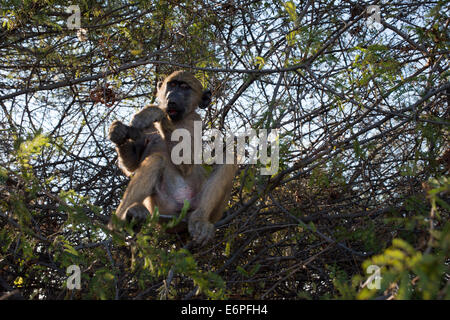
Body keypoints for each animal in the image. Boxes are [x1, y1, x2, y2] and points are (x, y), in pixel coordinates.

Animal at [108, 70, 237, 245]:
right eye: (173, 85)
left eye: (184, 87)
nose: (172, 98)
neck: (175, 120)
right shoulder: (145, 130)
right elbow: (131, 165)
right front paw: (117, 131)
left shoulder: (195, 120)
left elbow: (186, 162)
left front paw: (155, 112)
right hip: (161, 211)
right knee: (155, 160)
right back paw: (122, 220)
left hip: (203, 211)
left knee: (229, 160)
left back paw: (199, 220)